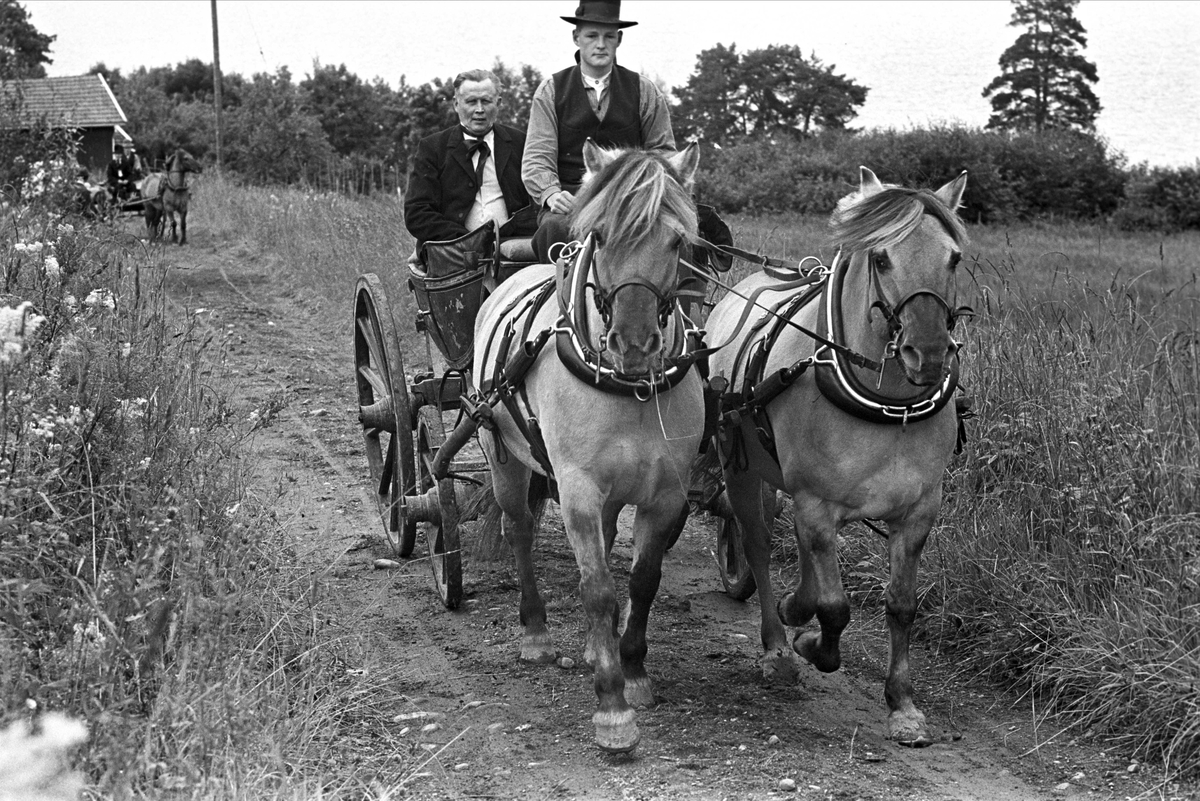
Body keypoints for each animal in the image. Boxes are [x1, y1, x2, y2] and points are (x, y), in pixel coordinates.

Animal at [470, 142, 700, 753]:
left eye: (679, 242)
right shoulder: (575, 488)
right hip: (501, 453)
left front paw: (633, 669)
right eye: (600, 235)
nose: (635, 343)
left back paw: (600, 647)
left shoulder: (667, 493)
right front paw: (613, 709)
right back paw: (535, 631)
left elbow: (642, 581)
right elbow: (597, 588)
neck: (630, 385)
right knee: (519, 528)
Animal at [700, 165, 974, 748]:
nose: (928, 354)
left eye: (954, 258)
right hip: (741, 467)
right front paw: (810, 645)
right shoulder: (816, 502)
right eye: (881, 257)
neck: (889, 402)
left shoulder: (918, 511)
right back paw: (778, 645)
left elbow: (901, 604)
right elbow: (835, 606)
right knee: (756, 543)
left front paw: (903, 704)